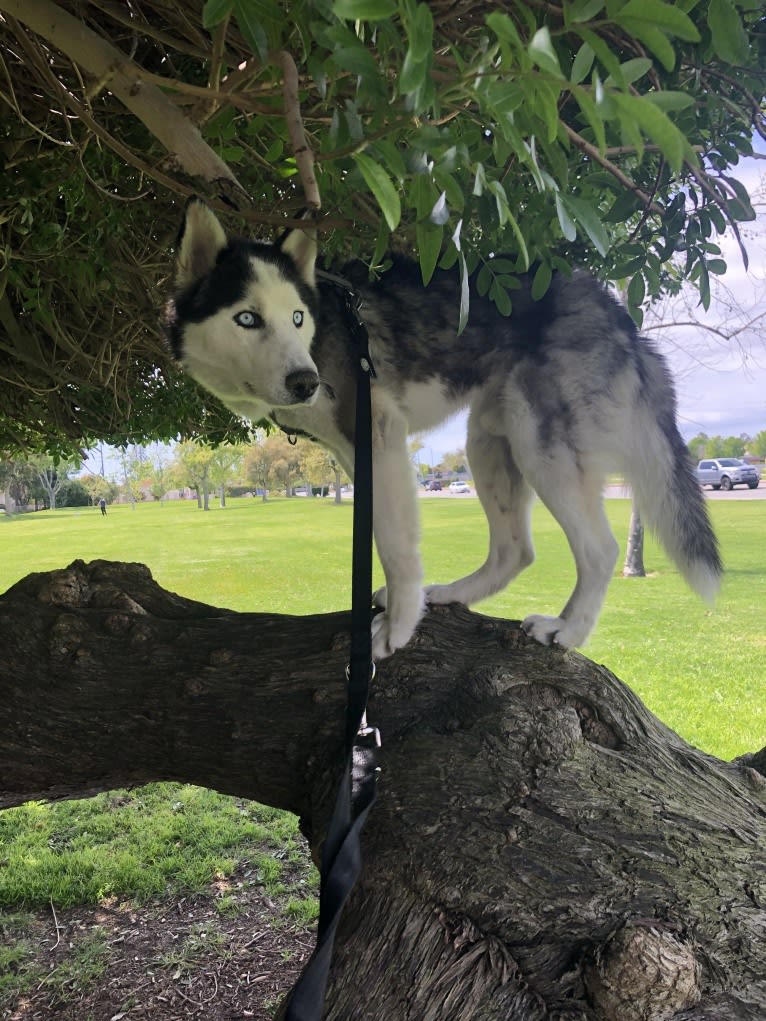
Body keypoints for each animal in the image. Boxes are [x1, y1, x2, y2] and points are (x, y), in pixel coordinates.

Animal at [165, 199, 723, 661]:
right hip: (491, 440)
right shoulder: (356, 453)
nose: (306, 382)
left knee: (600, 550)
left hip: (541, 447)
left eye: (298, 317)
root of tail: (616, 311)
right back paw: (455, 594)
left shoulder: (380, 436)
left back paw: (568, 630)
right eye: (246, 318)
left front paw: (399, 627)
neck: (324, 332)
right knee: (514, 550)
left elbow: (394, 545)